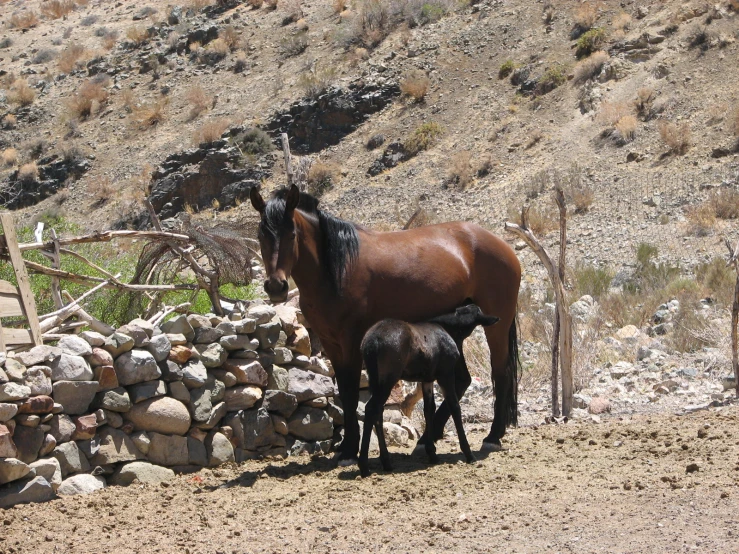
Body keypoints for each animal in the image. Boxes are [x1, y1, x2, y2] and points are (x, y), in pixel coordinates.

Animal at [356, 302, 498, 474]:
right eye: (478, 311)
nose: (493, 318)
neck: (448, 329)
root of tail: (372, 341)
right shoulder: (446, 374)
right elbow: (454, 406)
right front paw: (468, 453)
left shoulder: (427, 379)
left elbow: (429, 409)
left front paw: (432, 453)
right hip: (388, 378)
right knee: (372, 408)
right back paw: (364, 465)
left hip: (375, 379)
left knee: (378, 411)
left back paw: (386, 462)